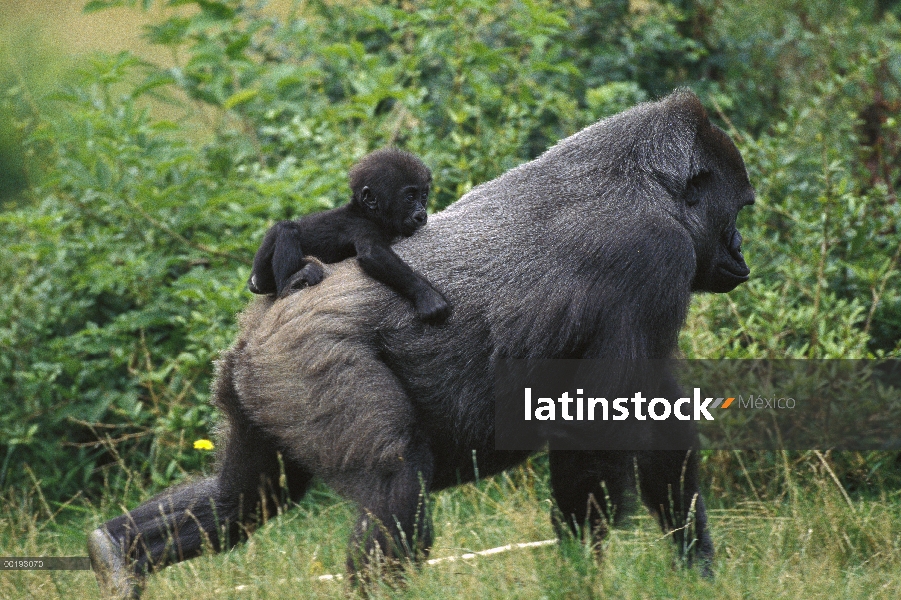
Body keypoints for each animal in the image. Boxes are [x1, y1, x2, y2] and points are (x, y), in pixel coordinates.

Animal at [246, 147, 450, 322]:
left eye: (423, 196)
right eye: (409, 198)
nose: (421, 215)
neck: (366, 213)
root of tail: (252, 280)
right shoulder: (362, 226)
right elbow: (373, 254)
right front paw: (426, 295)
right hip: (261, 272)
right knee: (286, 230)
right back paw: (288, 285)